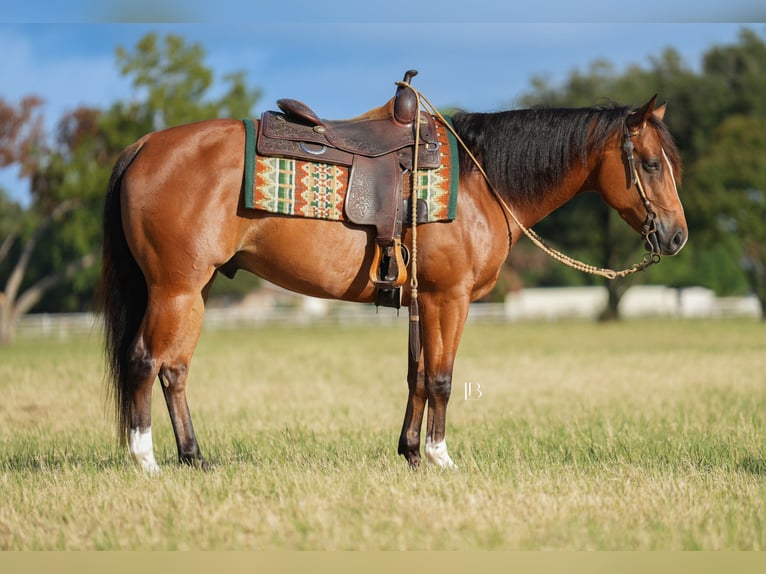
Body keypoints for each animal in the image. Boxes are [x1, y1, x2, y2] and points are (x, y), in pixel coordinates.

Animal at [99, 93, 687, 474]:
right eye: (651, 164)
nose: (677, 236)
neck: (480, 182)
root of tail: (144, 145)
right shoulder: (449, 298)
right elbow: (442, 378)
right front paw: (440, 457)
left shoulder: (423, 302)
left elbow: (417, 378)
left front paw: (410, 453)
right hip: (175, 288)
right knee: (145, 361)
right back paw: (146, 460)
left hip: (193, 292)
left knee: (174, 370)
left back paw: (194, 457)